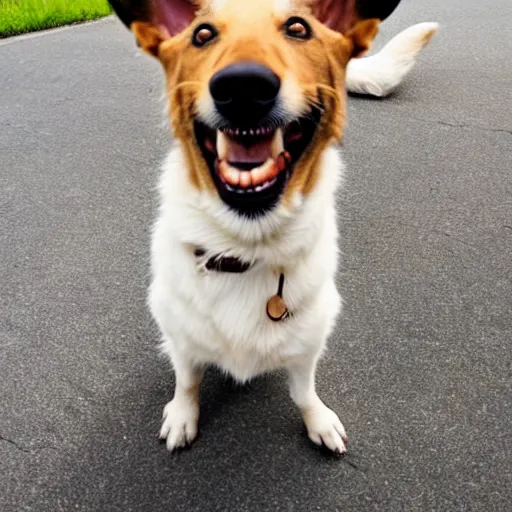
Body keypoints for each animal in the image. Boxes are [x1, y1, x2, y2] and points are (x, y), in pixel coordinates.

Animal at [110, 1, 438, 456]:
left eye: (298, 28)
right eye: (202, 35)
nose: (243, 86)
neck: (247, 246)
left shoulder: (309, 343)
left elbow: (303, 392)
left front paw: (318, 421)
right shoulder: (180, 335)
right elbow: (188, 379)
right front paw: (182, 415)